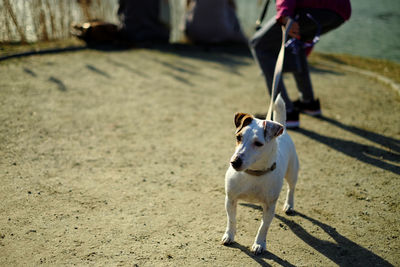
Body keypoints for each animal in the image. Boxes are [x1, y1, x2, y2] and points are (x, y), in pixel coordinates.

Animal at [222, 94, 300, 255]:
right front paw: (229, 235)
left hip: (292, 172)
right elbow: (231, 220)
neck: (254, 173)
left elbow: (263, 227)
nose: (234, 162)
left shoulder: (270, 206)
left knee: (291, 188)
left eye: (258, 144)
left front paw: (259, 244)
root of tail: (283, 128)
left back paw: (289, 204)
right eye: (238, 137)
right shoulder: (230, 199)